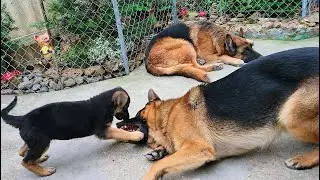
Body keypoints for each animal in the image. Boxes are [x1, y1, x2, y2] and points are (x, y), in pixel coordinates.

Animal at [0, 86, 144, 176]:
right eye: (126, 106)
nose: (127, 117)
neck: (105, 104)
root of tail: (23, 118)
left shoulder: (106, 129)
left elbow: (119, 134)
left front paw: (127, 137)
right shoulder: (103, 129)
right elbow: (119, 132)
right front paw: (135, 135)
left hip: (34, 140)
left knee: (22, 152)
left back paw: (39, 160)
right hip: (42, 140)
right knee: (25, 161)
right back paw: (44, 171)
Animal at [119, 47, 318, 179]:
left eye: (138, 114)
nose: (119, 122)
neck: (168, 115)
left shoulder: (199, 149)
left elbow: (159, 165)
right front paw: (158, 152)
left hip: (290, 117)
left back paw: (304, 160)